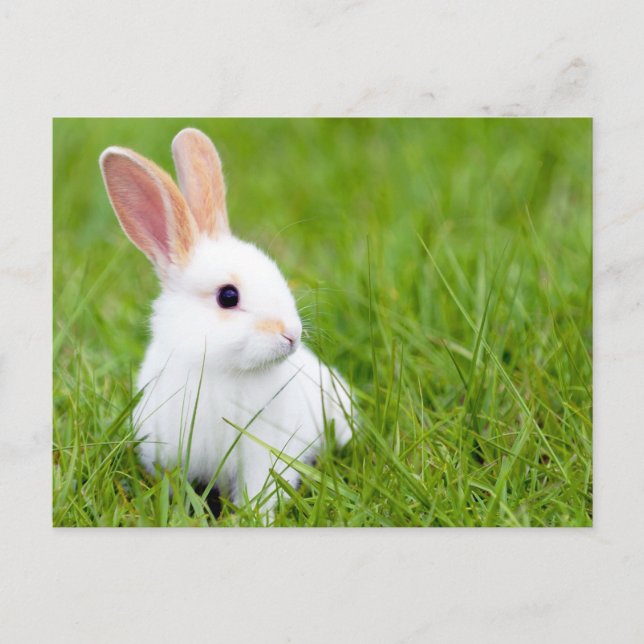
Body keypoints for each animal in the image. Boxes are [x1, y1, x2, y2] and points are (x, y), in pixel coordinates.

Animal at [99, 128, 352, 518]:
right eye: (228, 297)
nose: (291, 335)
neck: (218, 369)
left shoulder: (263, 453)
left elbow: (261, 489)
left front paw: (256, 518)